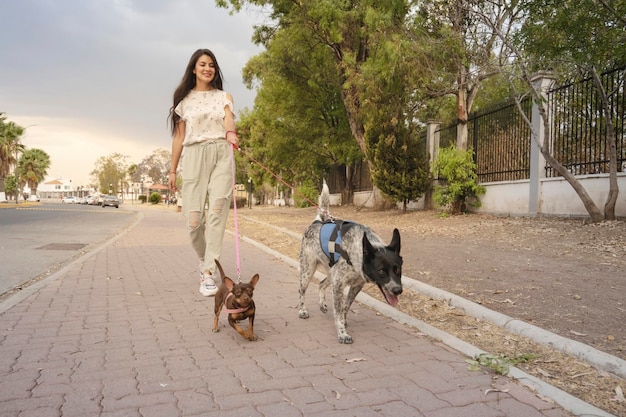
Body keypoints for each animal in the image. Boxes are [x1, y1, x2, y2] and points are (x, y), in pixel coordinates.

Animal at [298, 181, 404, 342]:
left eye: (398, 269)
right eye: (381, 271)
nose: (398, 290)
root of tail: (316, 222)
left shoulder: (355, 286)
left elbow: (345, 307)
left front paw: (343, 322)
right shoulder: (339, 285)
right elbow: (339, 310)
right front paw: (342, 332)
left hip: (331, 274)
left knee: (321, 284)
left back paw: (322, 304)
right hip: (308, 271)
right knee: (301, 291)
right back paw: (302, 310)